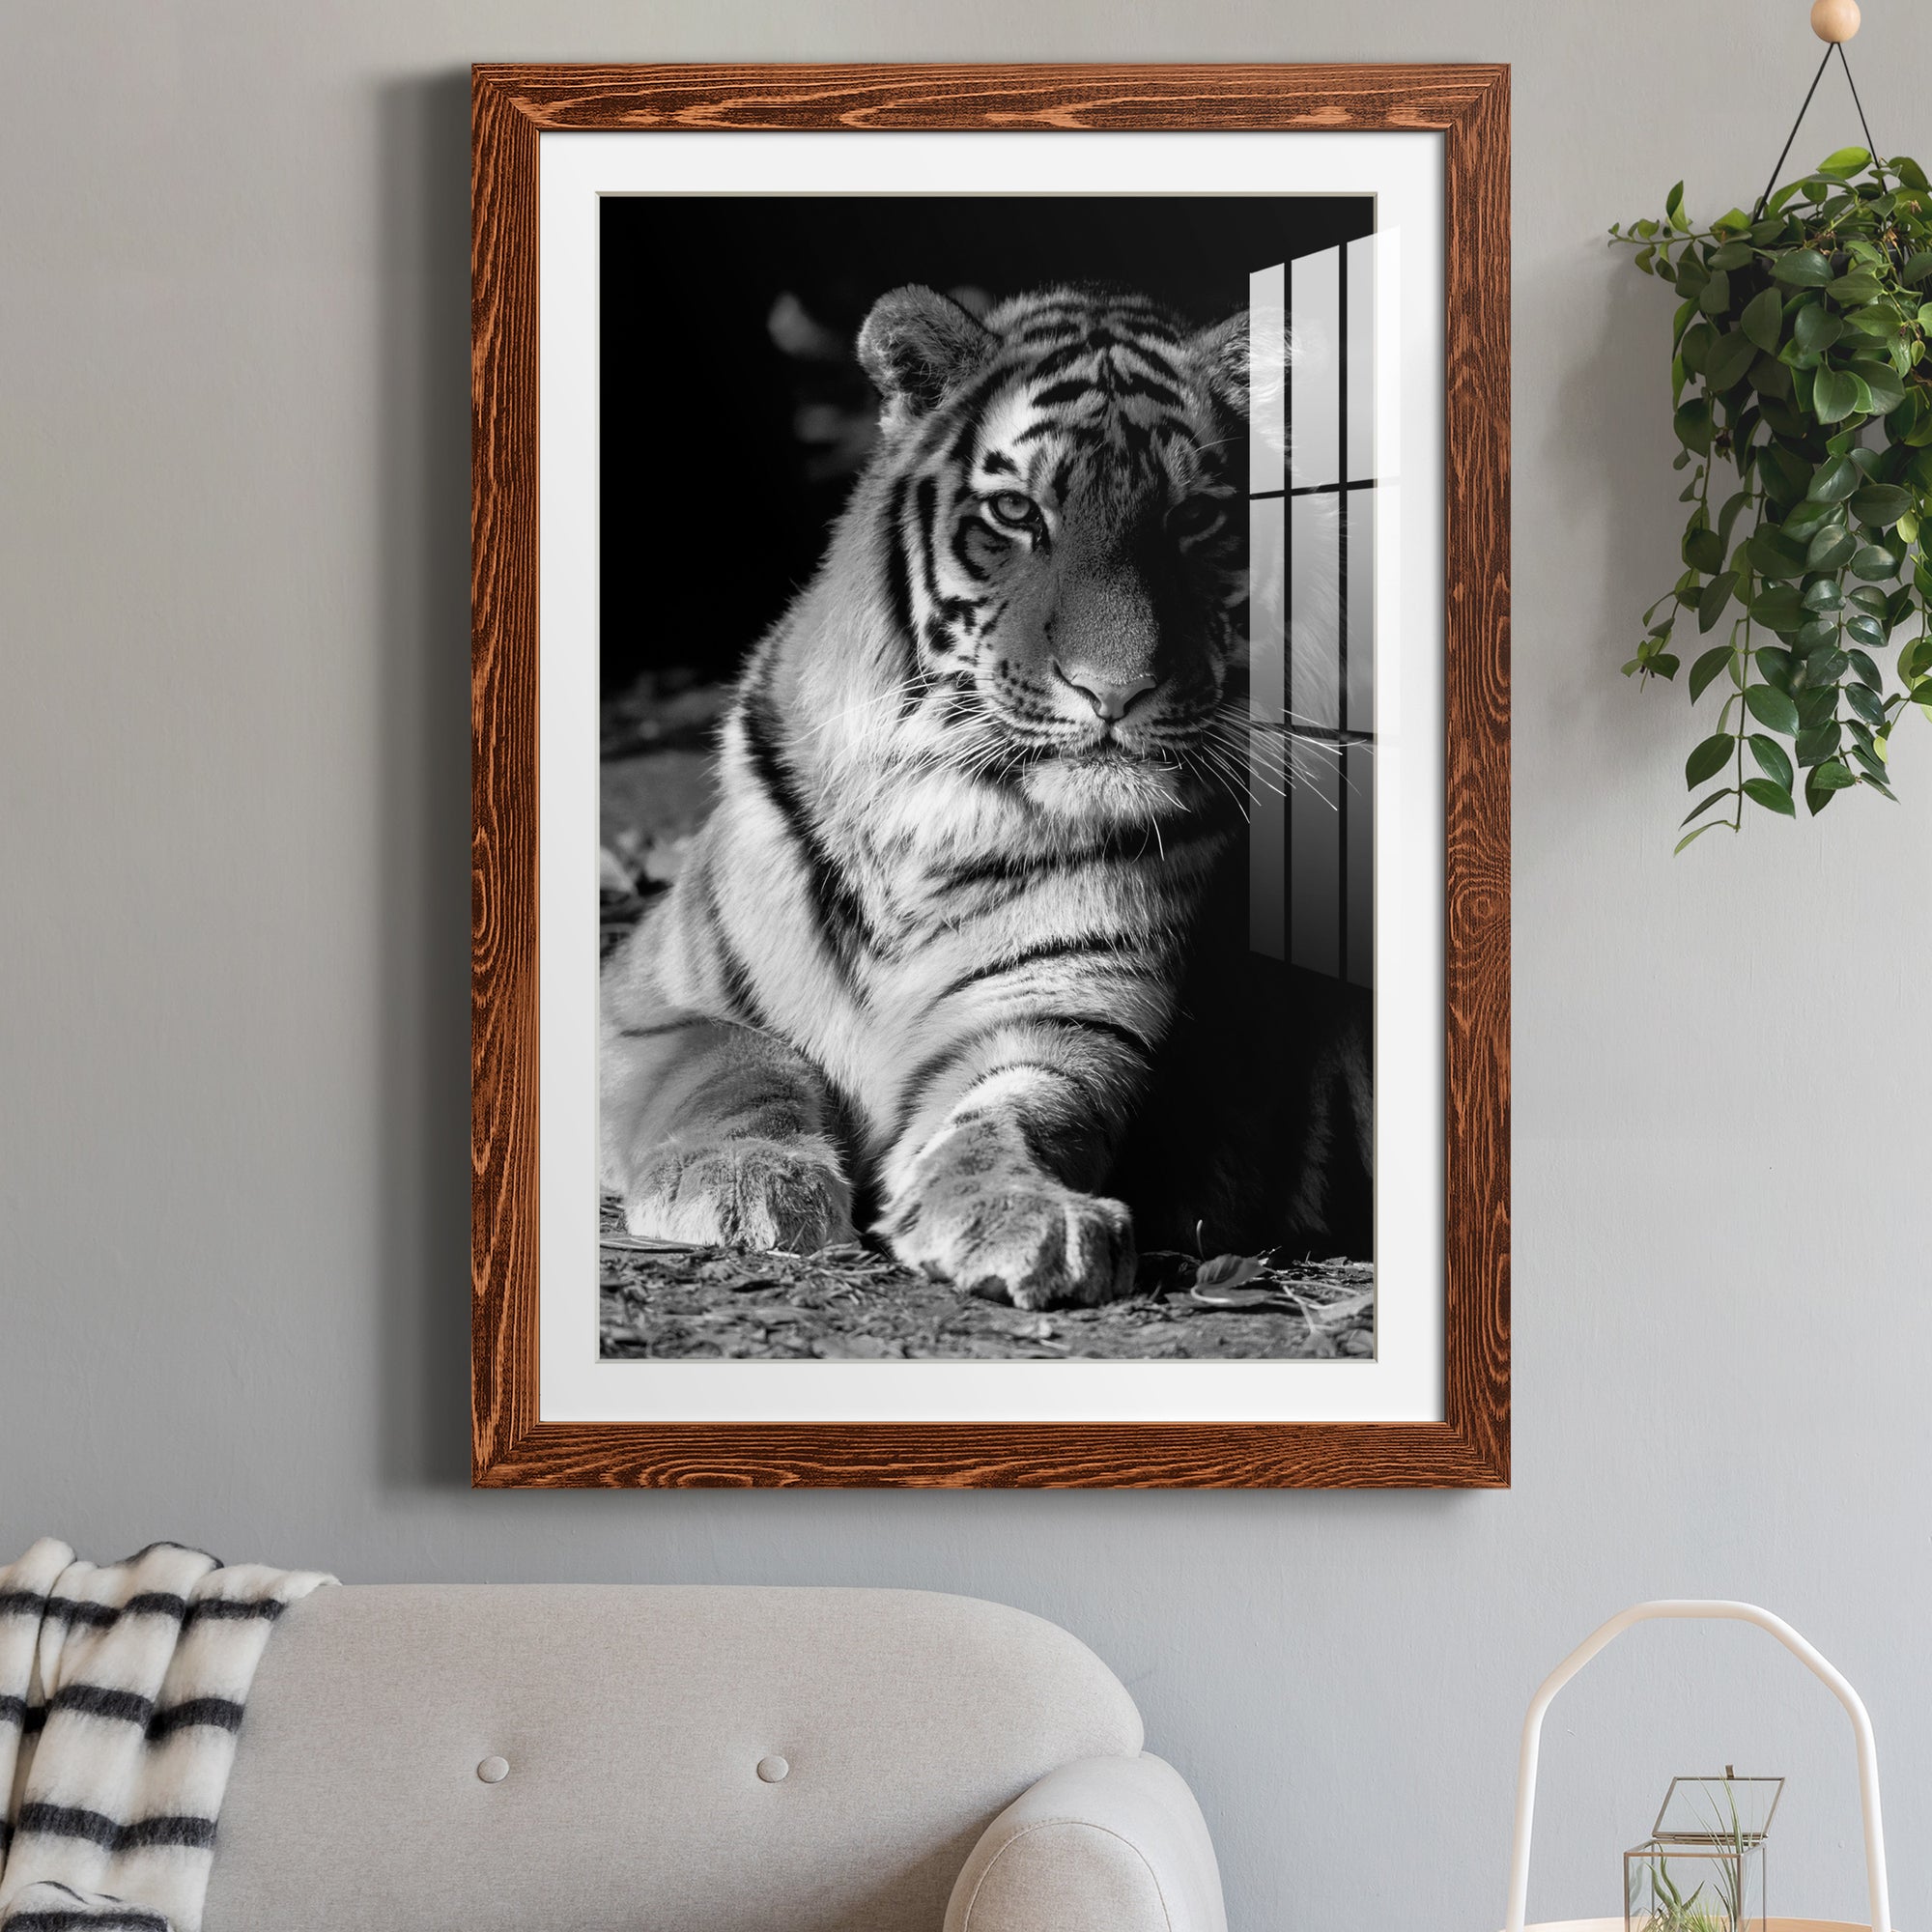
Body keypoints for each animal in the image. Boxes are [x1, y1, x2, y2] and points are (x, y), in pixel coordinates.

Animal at [600, 280, 1372, 1310]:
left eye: (1195, 520)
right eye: (1016, 512)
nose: (1115, 691)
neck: (938, 812)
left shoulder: (1061, 1017)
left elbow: (1013, 1113)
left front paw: (1024, 1215)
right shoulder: (642, 999)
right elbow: (737, 1061)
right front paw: (743, 1182)